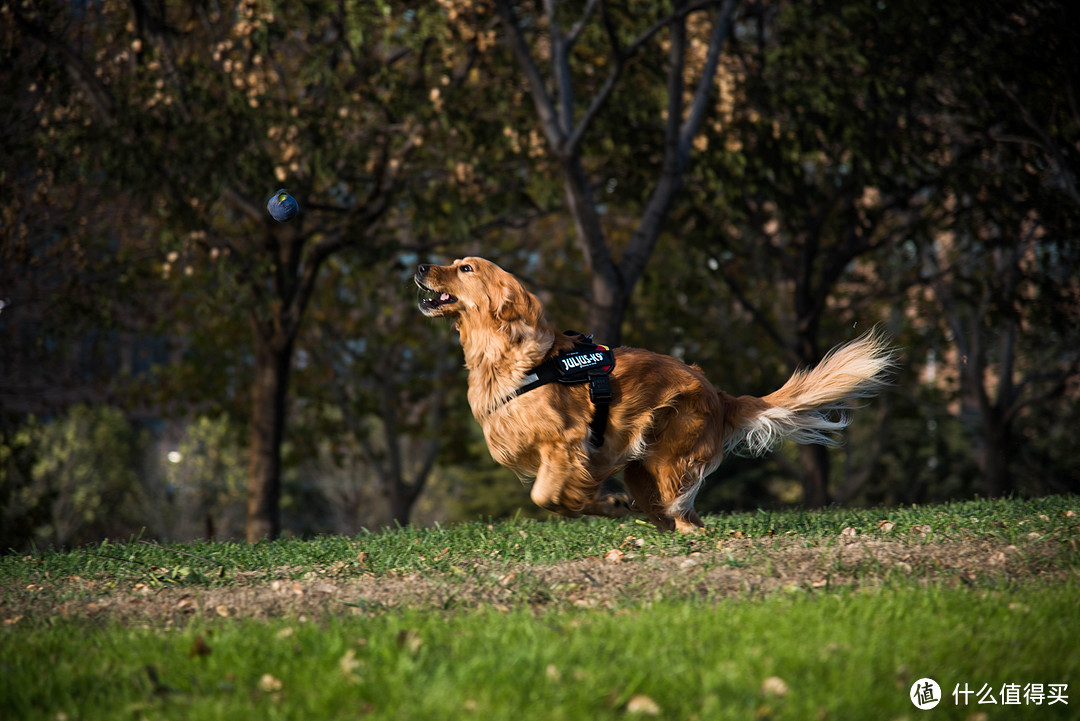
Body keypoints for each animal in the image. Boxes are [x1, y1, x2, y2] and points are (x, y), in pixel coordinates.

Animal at [412, 255, 894, 533]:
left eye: (465, 268)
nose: (418, 266)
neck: (509, 355)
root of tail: (719, 394)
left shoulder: (565, 444)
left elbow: (544, 495)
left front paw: (590, 502)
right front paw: (602, 504)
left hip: (669, 464)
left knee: (687, 518)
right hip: (641, 473)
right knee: (676, 517)